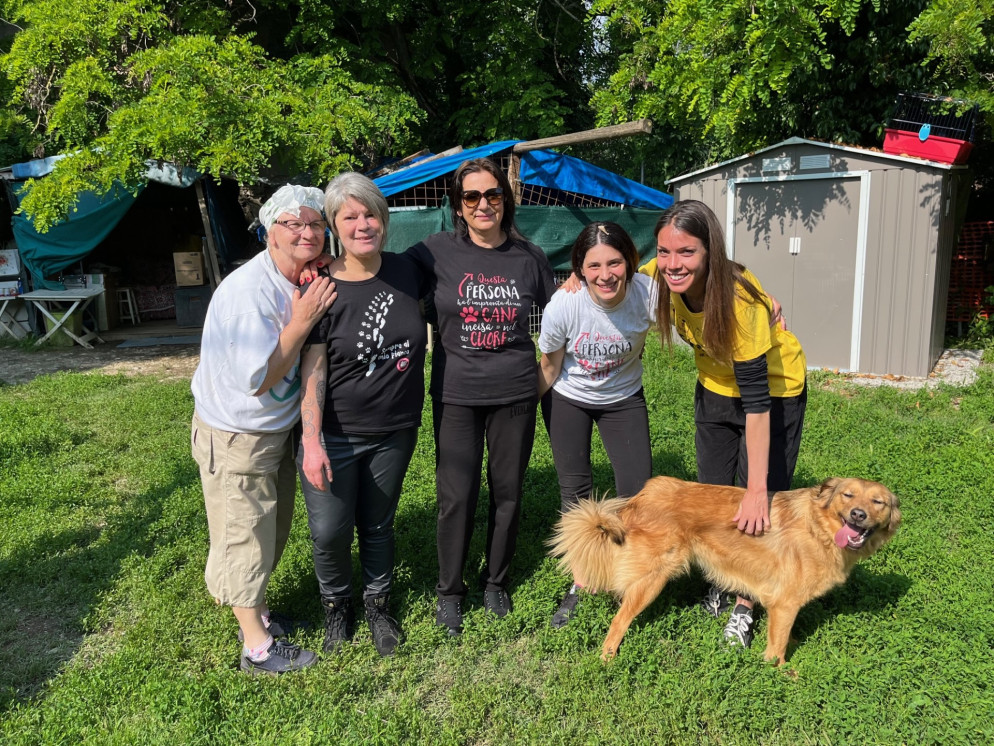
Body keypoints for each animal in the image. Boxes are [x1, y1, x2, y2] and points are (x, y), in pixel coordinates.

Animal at [549, 476, 901, 664]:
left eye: (878, 503)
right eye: (848, 495)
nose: (858, 515)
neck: (819, 529)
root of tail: (641, 495)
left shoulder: (784, 608)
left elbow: (783, 636)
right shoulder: (785, 604)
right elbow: (776, 650)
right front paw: (781, 674)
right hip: (652, 580)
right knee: (618, 621)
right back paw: (608, 658)